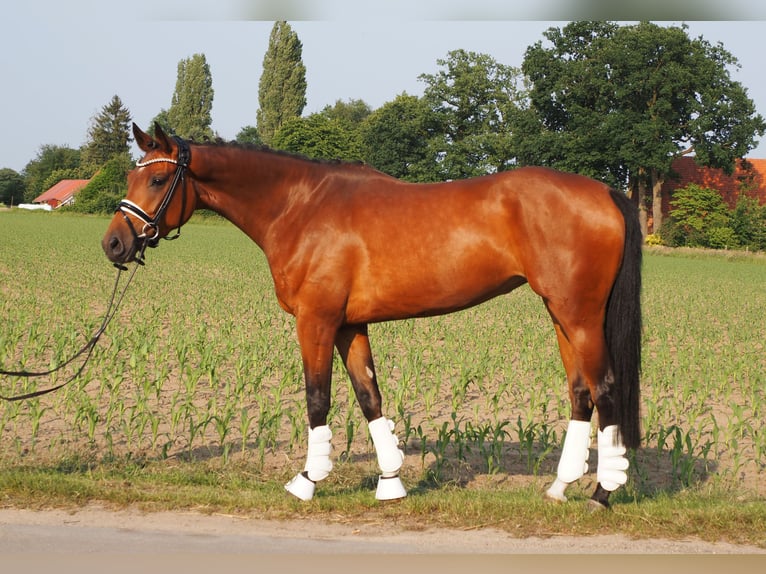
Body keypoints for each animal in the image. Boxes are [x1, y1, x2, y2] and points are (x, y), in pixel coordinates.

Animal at [102, 124, 640, 510]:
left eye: (156, 179)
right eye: (131, 177)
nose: (114, 244)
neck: (300, 206)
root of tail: (605, 192)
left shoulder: (315, 322)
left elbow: (317, 398)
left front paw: (307, 480)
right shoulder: (349, 326)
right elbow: (368, 397)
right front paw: (390, 481)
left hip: (581, 316)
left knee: (605, 389)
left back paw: (602, 494)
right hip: (561, 315)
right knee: (580, 392)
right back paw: (560, 488)